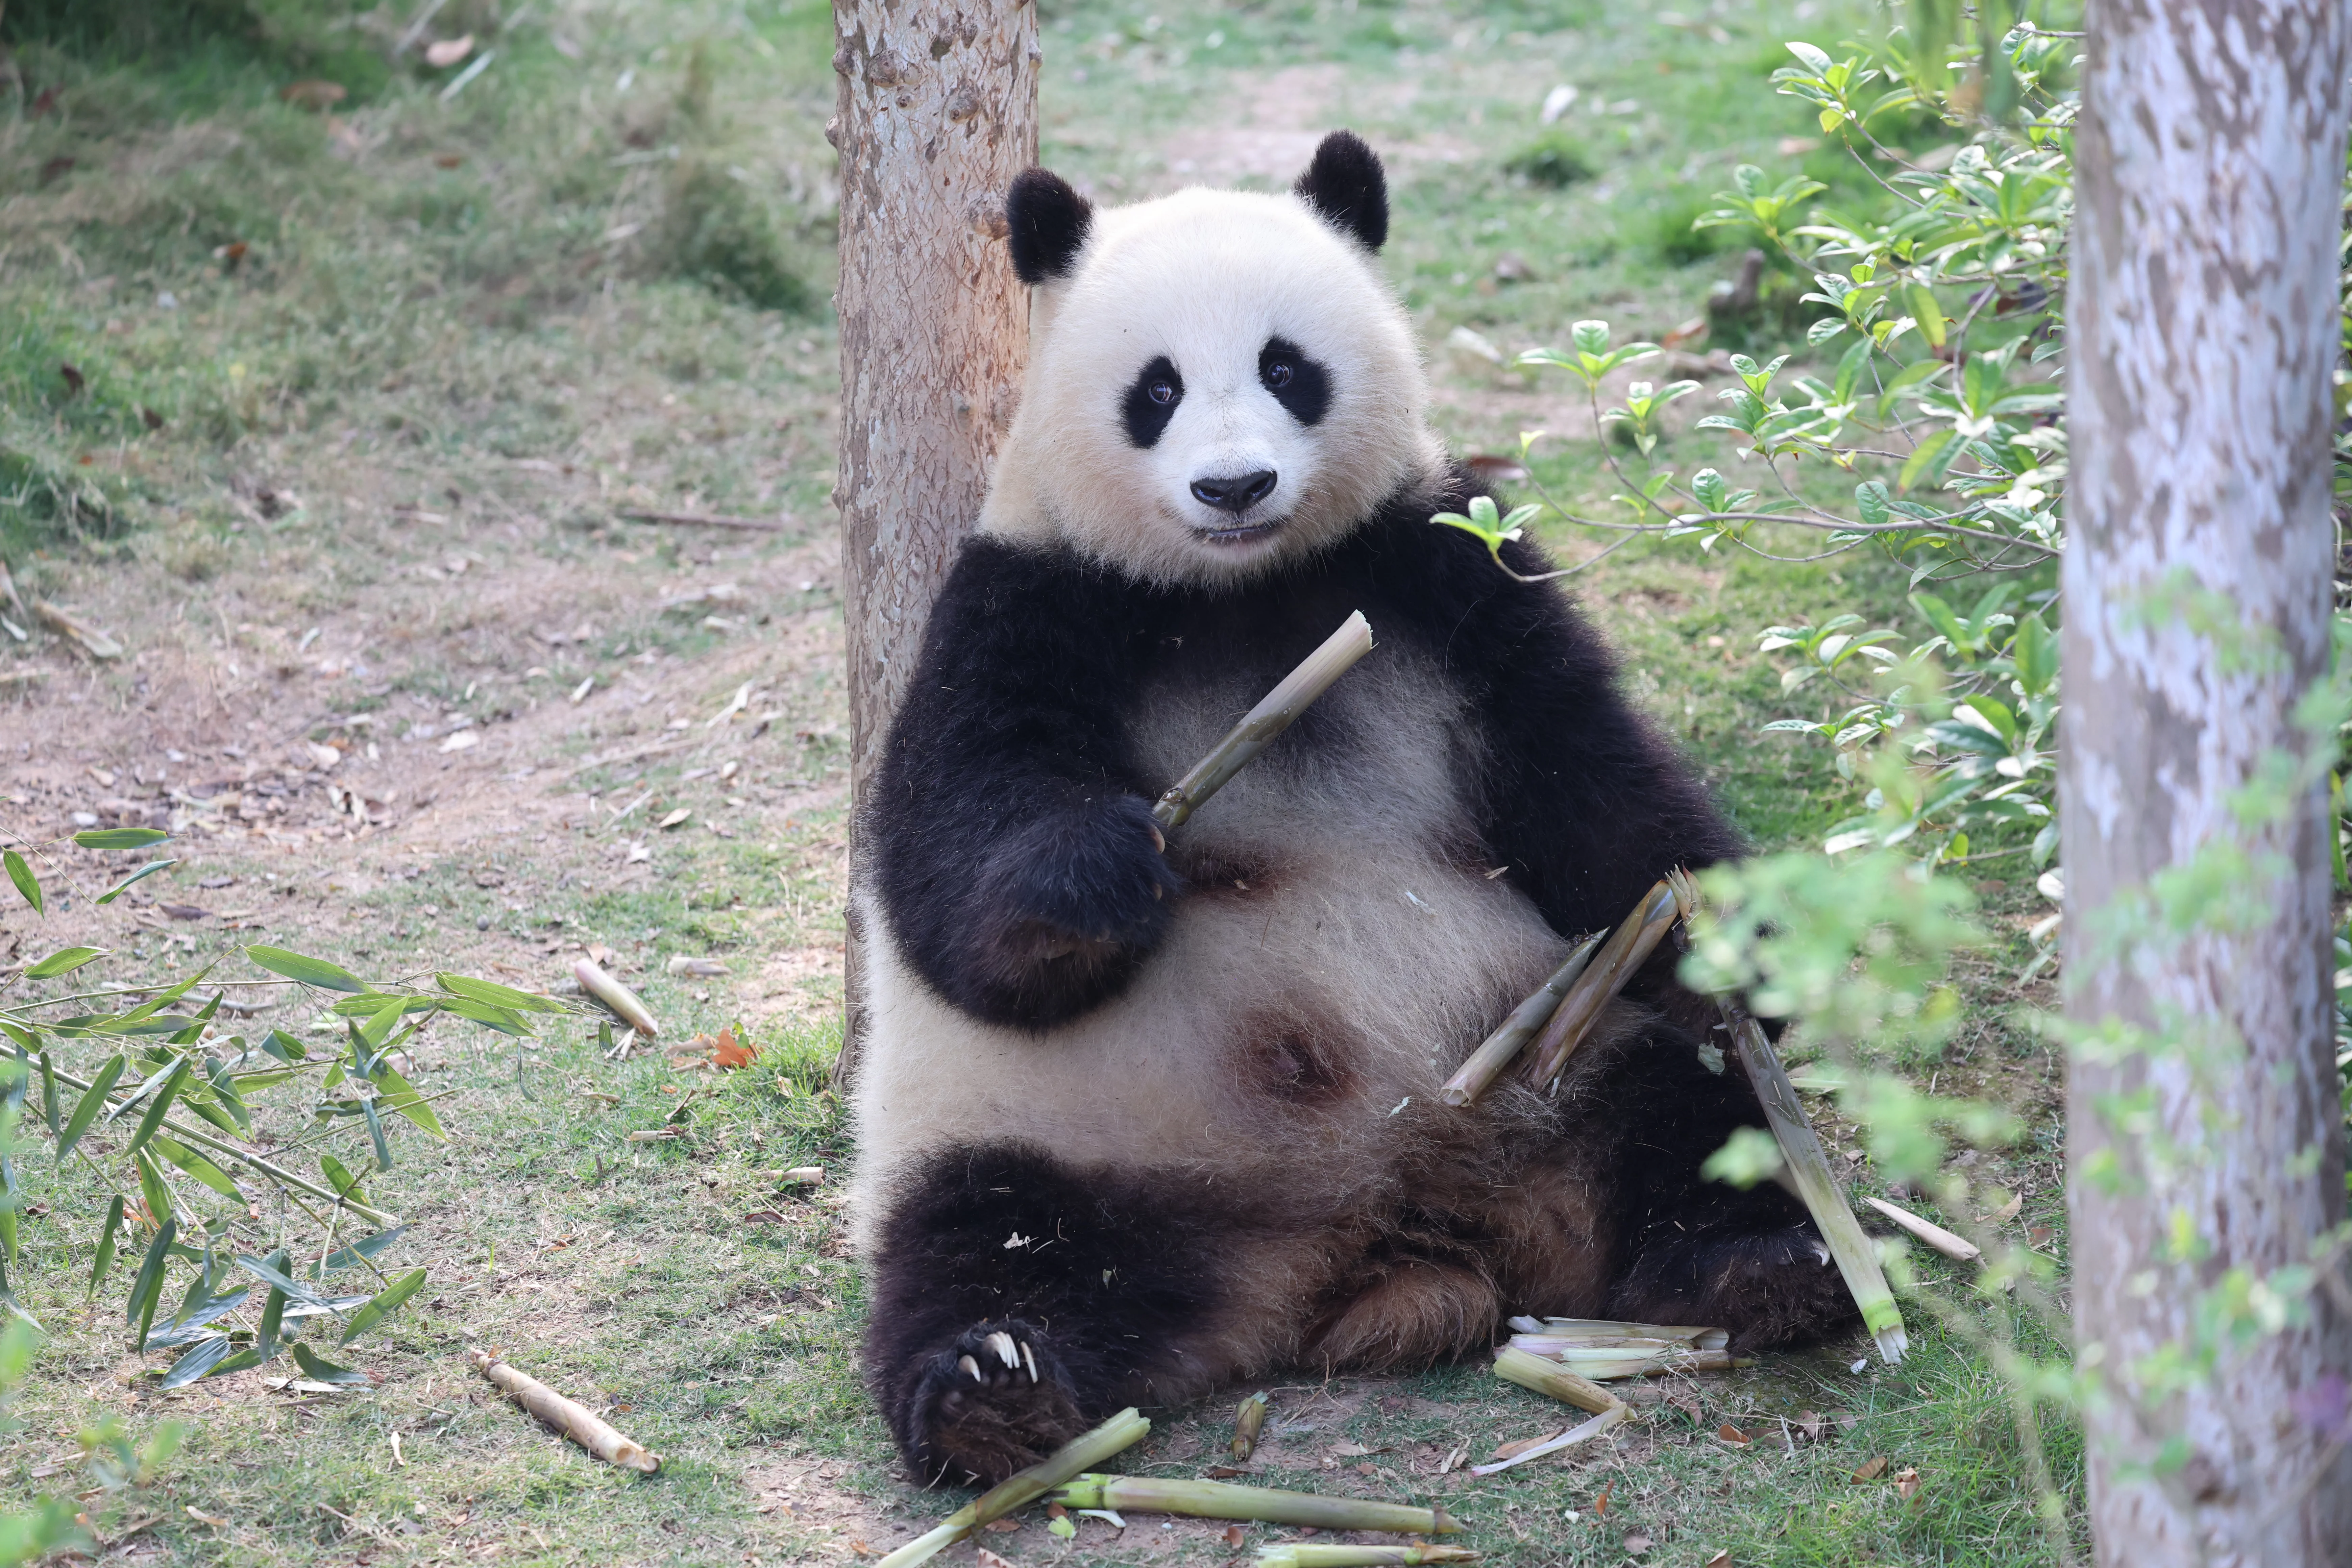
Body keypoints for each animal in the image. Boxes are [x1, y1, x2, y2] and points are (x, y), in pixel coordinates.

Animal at [850, 131, 1855, 1486]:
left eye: (1287, 367)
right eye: (1154, 389)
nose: (1233, 486)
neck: (1247, 592)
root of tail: (1384, 1231)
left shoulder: (1443, 572)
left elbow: (1589, 778)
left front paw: (1730, 937)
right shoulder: (1029, 602)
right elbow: (948, 867)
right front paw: (1099, 873)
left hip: (1567, 1056)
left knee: (1695, 1116)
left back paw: (1766, 1263)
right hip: (1057, 1132)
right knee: (984, 1239)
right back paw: (988, 1388)